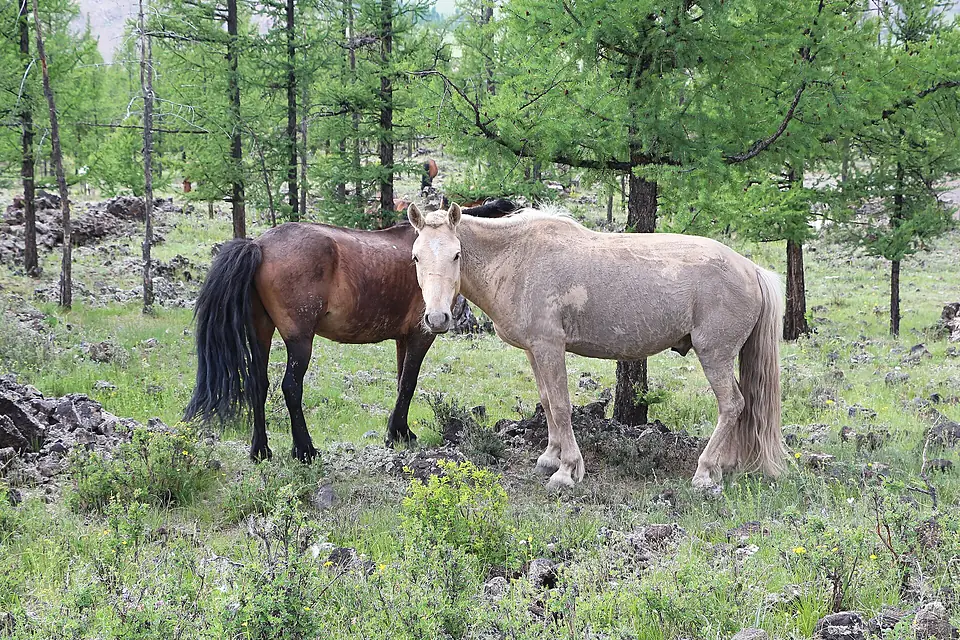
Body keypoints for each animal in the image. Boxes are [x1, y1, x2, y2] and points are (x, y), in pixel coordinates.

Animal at [184, 199, 517, 462]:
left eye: (456, 255)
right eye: (418, 258)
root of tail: (259, 245)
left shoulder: (403, 339)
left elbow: (401, 383)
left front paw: (400, 432)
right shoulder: (421, 336)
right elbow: (409, 383)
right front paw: (397, 435)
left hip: (261, 332)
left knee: (258, 384)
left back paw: (260, 451)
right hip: (299, 340)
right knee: (291, 387)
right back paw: (304, 450)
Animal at [406, 202, 785, 490]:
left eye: (456, 255)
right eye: (416, 258)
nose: (437, 318)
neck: (518, 258)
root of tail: (751, 269)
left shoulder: (550, 347)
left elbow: (561, 406)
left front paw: (566, 471)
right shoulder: (534, 350)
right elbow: (547, 402)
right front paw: (550, 458)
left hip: (714, 355)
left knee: (732, 405)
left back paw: (705, 471)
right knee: (741, 405)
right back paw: (724, 466)